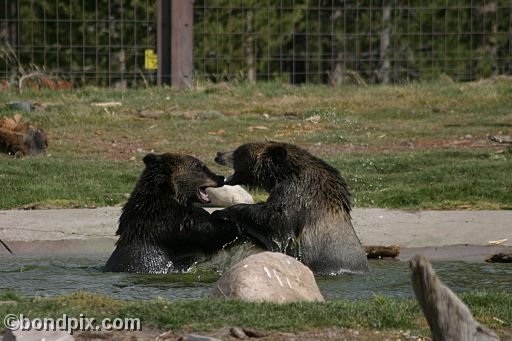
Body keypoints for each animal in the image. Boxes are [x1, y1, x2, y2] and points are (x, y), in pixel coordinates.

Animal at [105, 153, 240, 274]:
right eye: (199, 167)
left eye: (202, 166)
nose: (220, 177)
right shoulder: (171, 222)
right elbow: (208, 232)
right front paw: (233, 224)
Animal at [212, 141, 368, 274]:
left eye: (239, 151)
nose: (218, 154)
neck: (283, 175)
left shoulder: (297, 194)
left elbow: (274, 220)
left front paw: (222, 212)